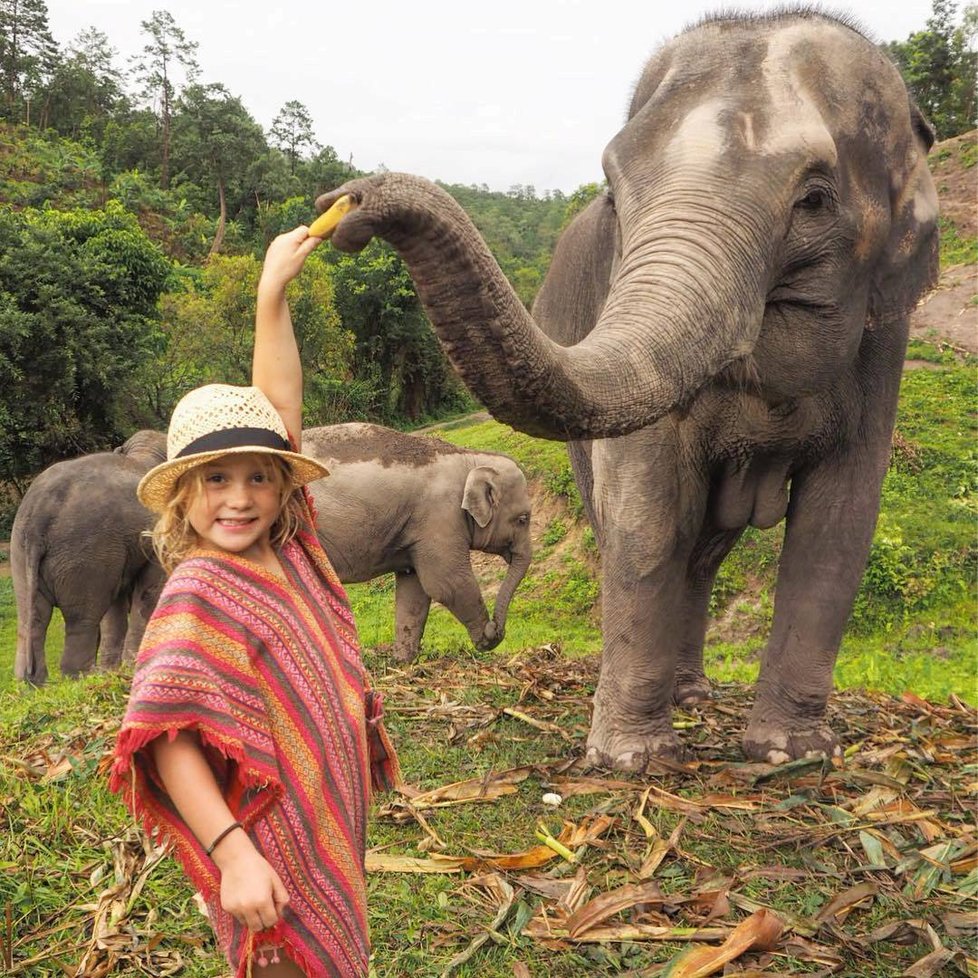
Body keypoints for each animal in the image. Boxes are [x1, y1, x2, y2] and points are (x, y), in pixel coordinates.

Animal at [11, 430, 166, 684]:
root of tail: (39, 511)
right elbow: (148, 595)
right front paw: (128, 668)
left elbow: (117, 606)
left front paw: (113, 671)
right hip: (85, 553)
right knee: (82, 620)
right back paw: (82, 680)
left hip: (22, 551)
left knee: (31, 620)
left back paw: (34, 685)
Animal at [304, 422, 532, 660]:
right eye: (523, 519)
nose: (496, 628)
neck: (470, 458)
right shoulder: (439, 517)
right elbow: (447, 583)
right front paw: (485, 639)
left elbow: (414, 590)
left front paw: (403, 660)